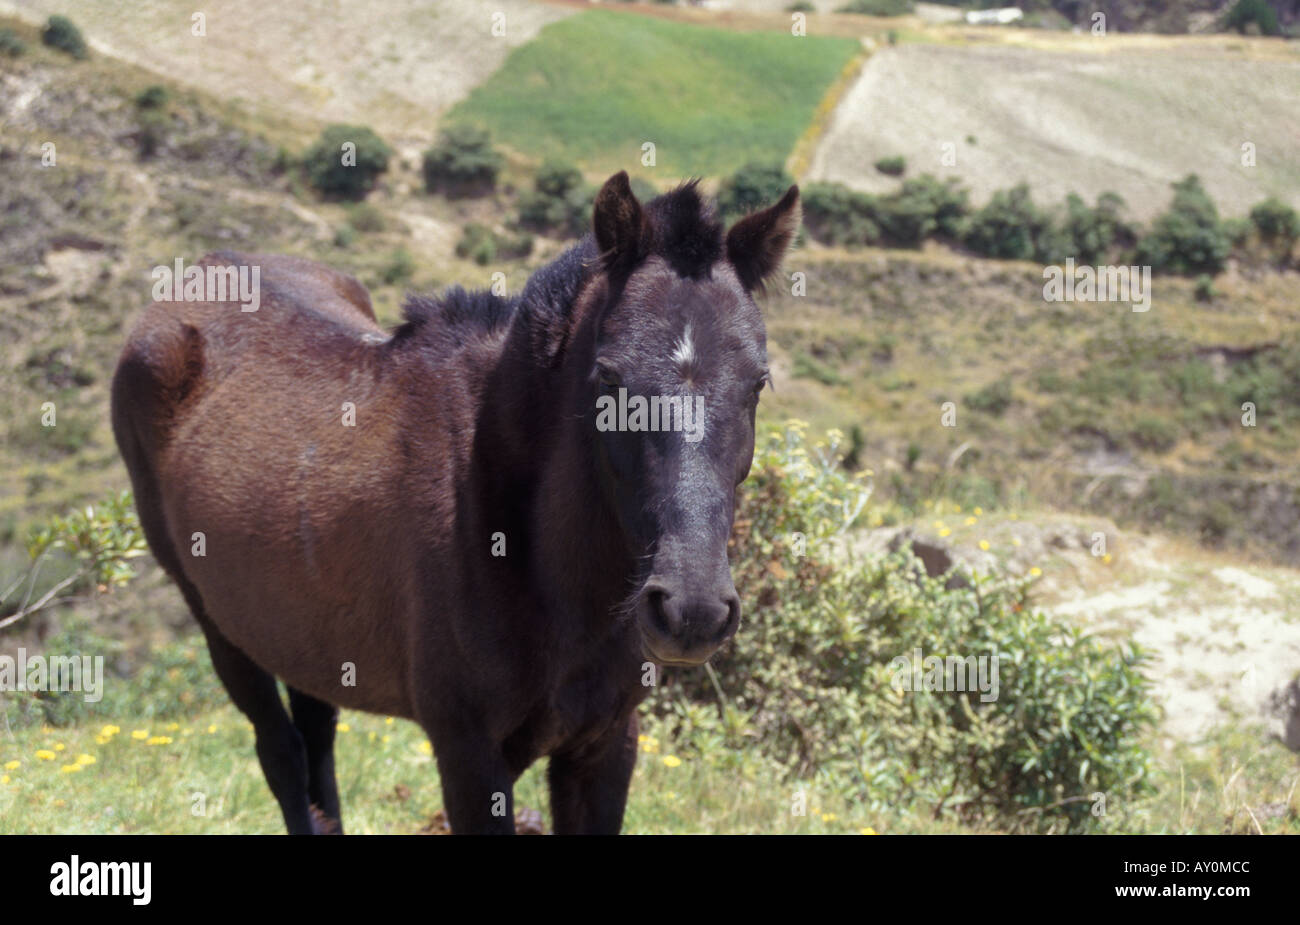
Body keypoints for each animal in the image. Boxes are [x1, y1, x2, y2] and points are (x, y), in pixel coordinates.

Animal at [114, 171, 800, 831]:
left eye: (758, 383)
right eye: (610, 378)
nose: (692, 610)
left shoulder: (604, 747)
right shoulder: (469, 756)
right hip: (220, 626)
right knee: (282, 751)